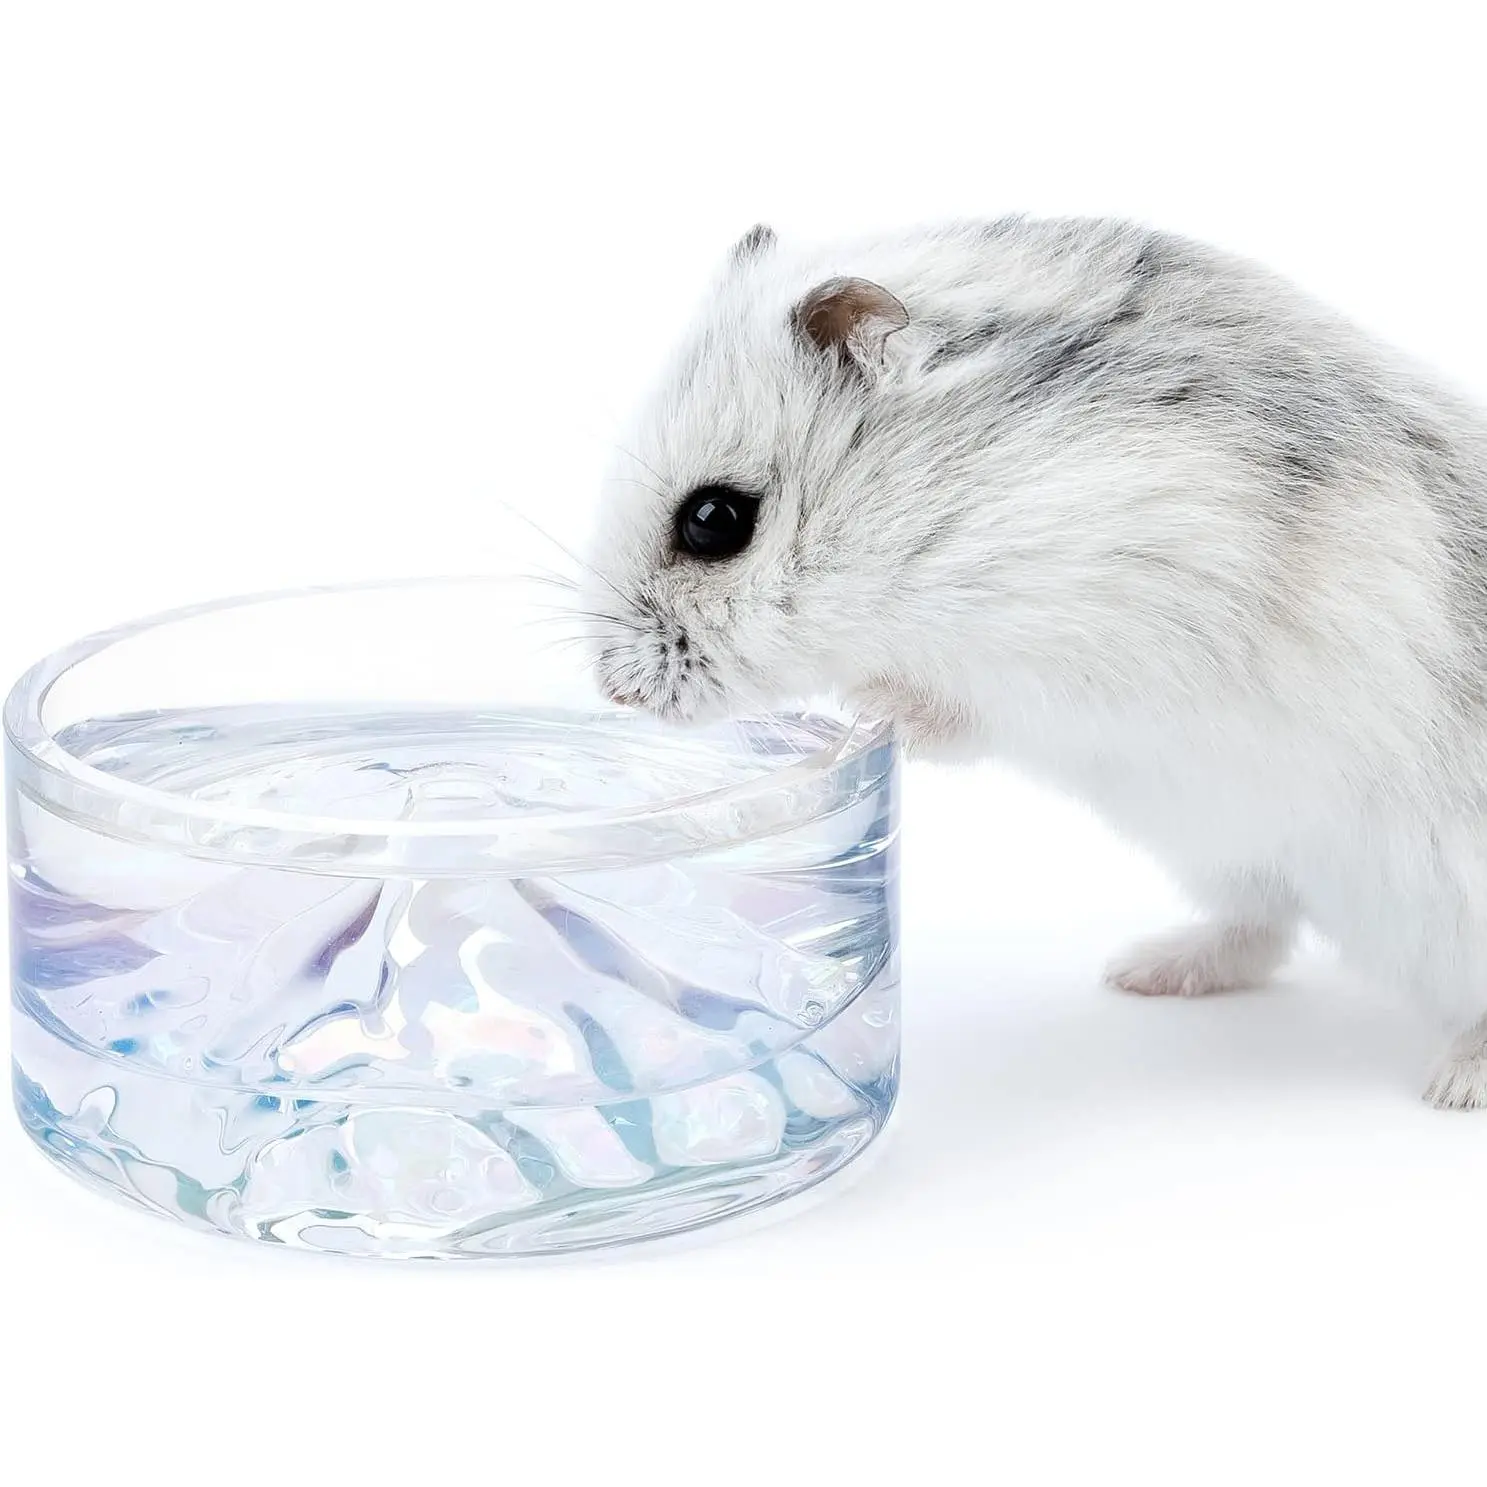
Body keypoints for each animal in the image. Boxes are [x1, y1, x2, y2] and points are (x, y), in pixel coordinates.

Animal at [582, 215, 1487, 1110]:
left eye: (714, 520)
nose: (613, 691)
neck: (963, 499)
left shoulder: (1094, 654)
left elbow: (962, 710)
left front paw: (867, 705)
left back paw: (1454, 1086)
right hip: (1234, 856)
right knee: (1261, 929)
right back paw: (1141, 971)